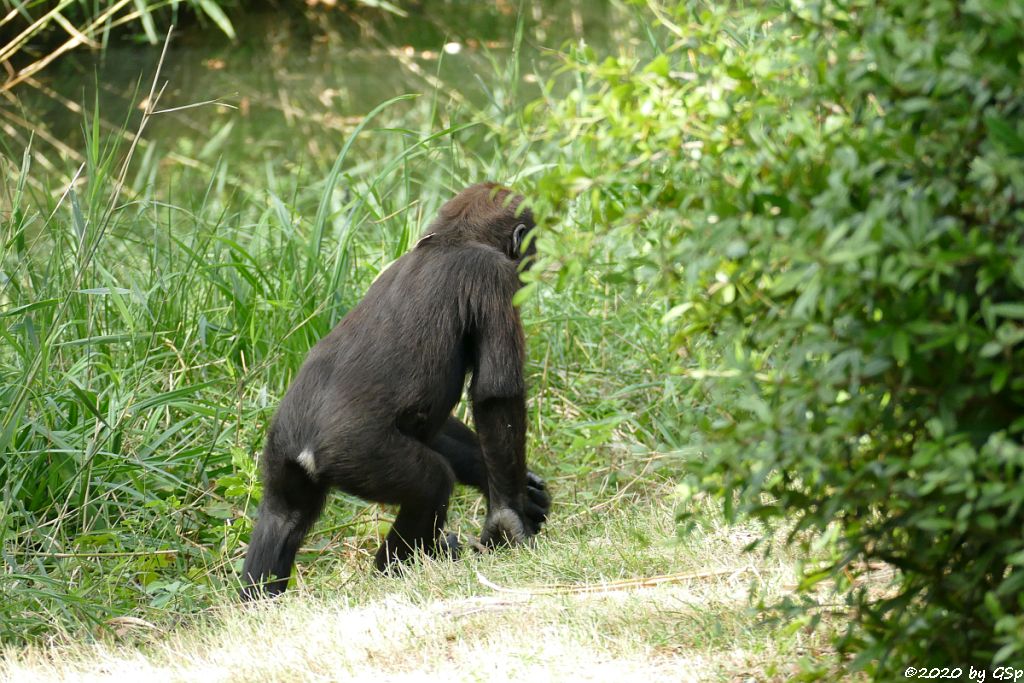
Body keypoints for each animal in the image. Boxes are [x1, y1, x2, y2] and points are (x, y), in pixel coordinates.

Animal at [238, 181, 548, 598]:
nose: (533, 261)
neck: (451, 239)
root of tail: (303, 446)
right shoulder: (493, 276)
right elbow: (495, 396)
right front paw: (507, 514)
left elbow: (433, 427)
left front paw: (501, 482)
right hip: (356, 455)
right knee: (431, 486)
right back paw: (395, 568)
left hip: (281, 451)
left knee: (283, 515)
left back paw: (258, 598)